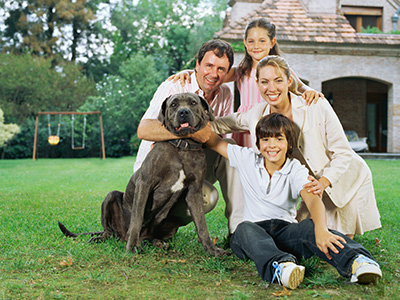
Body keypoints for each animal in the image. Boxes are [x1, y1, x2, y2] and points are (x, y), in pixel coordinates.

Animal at [59, 92, 228, 256]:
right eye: (173, 105)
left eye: (193, 103)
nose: (183, 112)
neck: (182, 147)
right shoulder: (145, 183)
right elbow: (137, 217)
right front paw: (132, 247)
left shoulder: (194, 192)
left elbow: (202, 224)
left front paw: (212, 250)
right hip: (111, 198)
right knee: (110, 232)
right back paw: (105, 238)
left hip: (171, 222)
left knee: (149, 237)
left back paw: (158, 242)